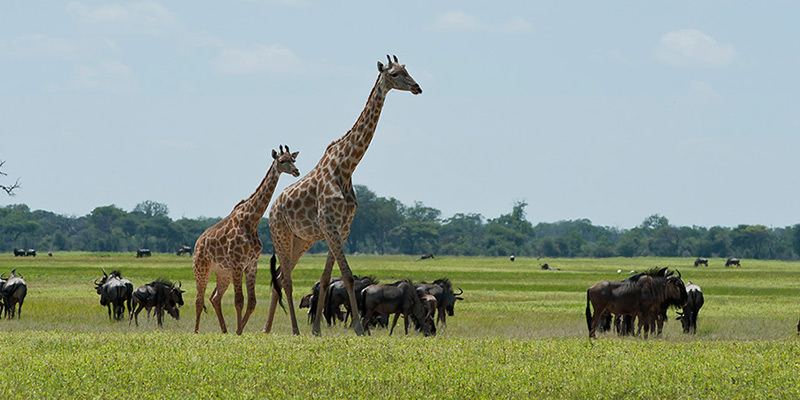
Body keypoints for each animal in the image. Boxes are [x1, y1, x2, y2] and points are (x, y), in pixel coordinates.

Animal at [193, 145, 300, 334]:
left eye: (293, 159)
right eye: (281, 161)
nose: (296, 171)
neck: (251, 221)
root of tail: (198, 242)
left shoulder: (251, 264)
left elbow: (252, 302)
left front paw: (239, 330)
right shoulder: (237, 263)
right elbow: (239, 300)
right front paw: (238, 331)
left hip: (223, 273)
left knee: (215, 297)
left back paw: (224, 331)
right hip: (201, 267)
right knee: (199, 300)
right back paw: (196, 331)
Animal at [264, 55, 422, 336]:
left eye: (407, 69)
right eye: (394, 74)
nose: (417, 87)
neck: (346, 167)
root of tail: (273, 207)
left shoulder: (342, 227)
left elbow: (328, 277)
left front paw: (317, 329)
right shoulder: (330, 225)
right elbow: (346, 274)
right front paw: (358, 328)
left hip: (301, 240)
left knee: (281, 277)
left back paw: (268, 328)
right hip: (281, 235)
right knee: (286, 278)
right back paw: (292, 329)